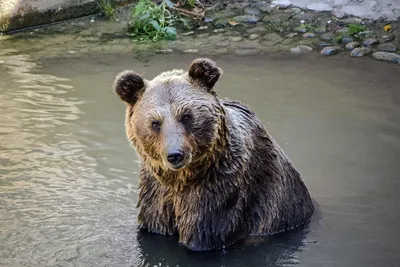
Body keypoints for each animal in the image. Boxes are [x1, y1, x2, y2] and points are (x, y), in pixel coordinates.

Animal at [111, 57, 312, 252]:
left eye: (186, 116)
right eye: (155, 123)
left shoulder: (222, 189)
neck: (181, 179)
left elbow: (203, 233)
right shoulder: (155, 191)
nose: (175, 155)